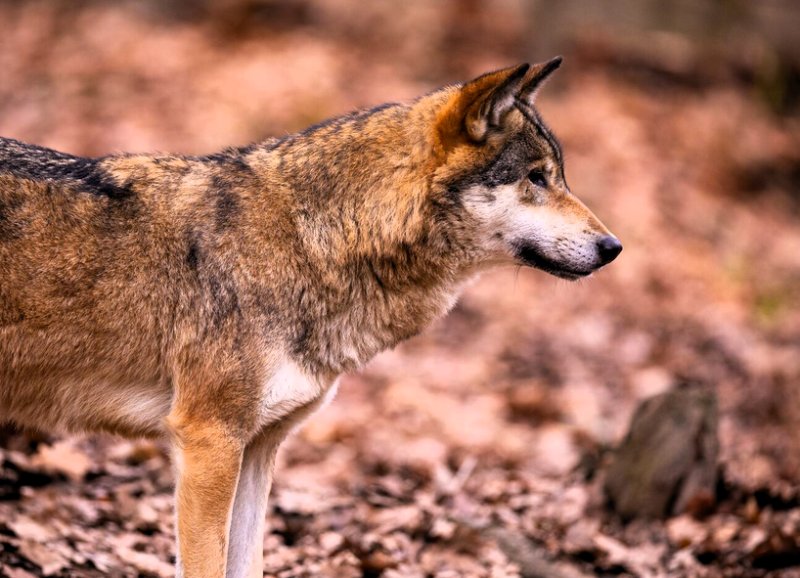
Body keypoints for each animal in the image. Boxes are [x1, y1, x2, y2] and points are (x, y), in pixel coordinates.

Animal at [0, 57, 620, 577]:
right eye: (536, 177)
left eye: (558, 175)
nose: (613, 247)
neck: (309, 239)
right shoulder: (208, 441)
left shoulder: (257, 448)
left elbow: (247, 565)